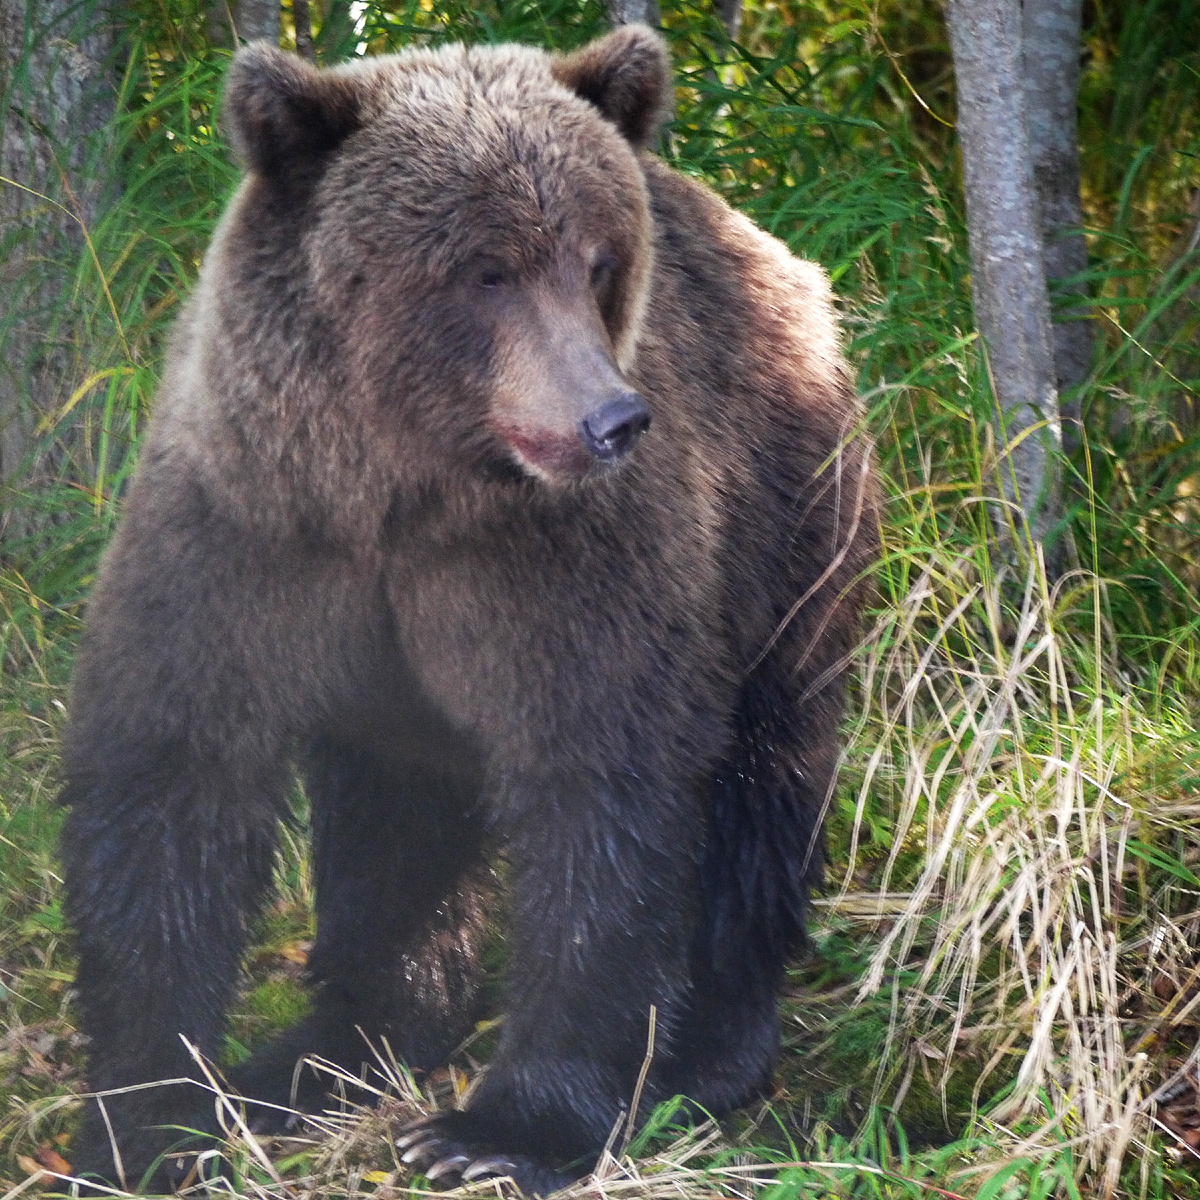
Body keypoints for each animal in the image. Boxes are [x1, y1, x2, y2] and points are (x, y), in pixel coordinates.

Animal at [60, 23, 878, 1195]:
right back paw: (326, 1050)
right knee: (393, 821)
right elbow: (171, 783)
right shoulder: (252, 535)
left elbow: (602, 789)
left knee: (766, 768)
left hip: (783, 517)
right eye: (485, 270)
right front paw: (143, 1123)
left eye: (596, 261)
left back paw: (710, 1052)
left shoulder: (565, 567)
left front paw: (498, 1131)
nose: (610, 418)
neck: (402, 497)